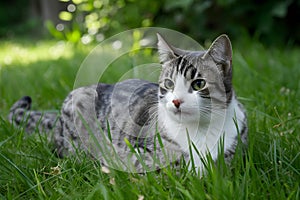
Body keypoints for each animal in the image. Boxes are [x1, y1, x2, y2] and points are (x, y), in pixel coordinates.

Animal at [8, 34, 248, 173]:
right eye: (168, 84)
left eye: (199, 84)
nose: (176, 101)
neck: (200, 130)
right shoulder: (135, 151)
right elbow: (169, 164)